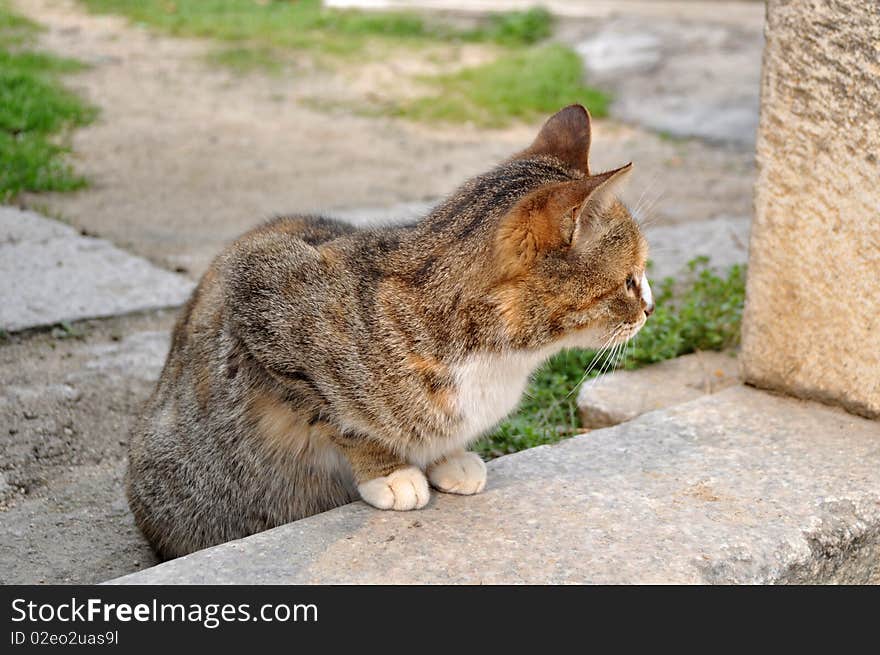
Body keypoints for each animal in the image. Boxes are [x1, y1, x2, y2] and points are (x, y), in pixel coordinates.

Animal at [129, 104, 652, 560]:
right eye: (630, 279)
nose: (651, 307)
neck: (497, 358)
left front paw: (447, 456)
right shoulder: (256, 288)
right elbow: (340, 419)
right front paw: (390, 470)